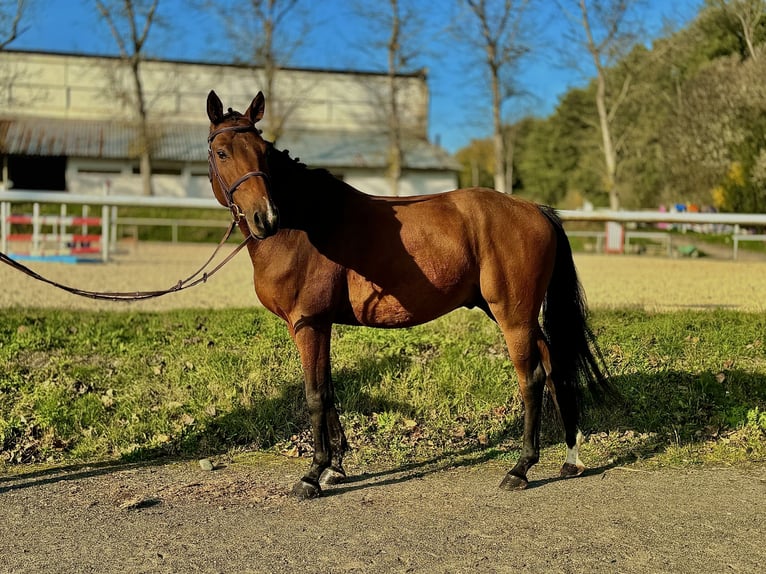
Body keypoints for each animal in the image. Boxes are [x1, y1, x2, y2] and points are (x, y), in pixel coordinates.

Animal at [204, 90, 612, 500]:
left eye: (262, 152)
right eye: (222, 152)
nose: (265, 218)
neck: (306, 225)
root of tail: (536, 211)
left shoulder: (310, 324)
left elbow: (315, 394)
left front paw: (312, 475)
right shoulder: (316, 326)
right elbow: (329, 390)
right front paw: (335, 467)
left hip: (513, 316)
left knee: (531, 378)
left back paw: (521, 468)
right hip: (517, 316)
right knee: (553, 365)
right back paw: (571, 458)